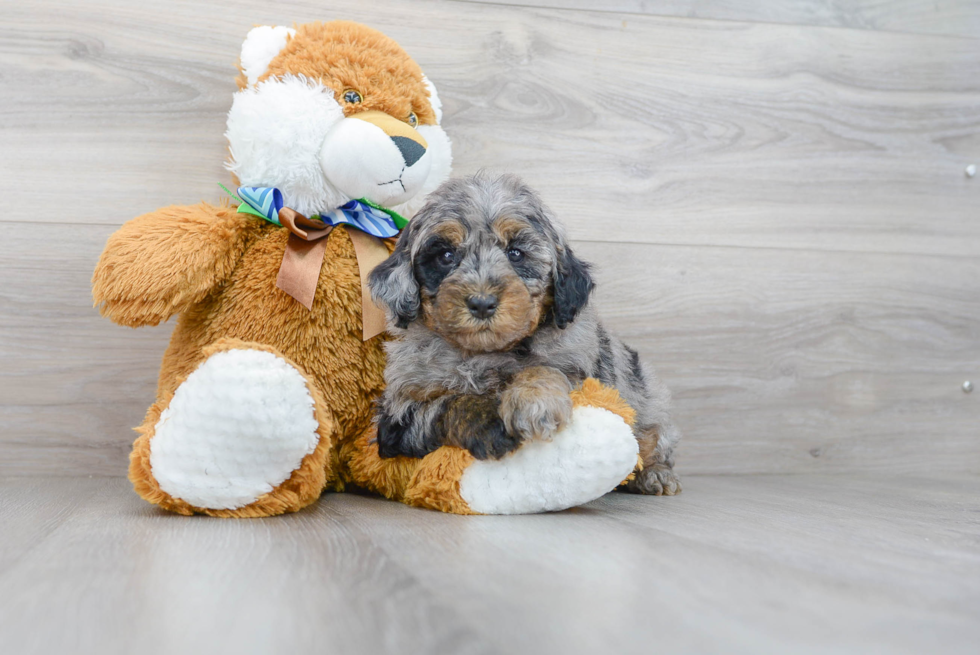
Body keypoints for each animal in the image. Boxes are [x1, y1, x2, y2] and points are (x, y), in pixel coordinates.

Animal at [368, 172, 680, 494]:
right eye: (445, 255)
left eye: (516, 253)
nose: (482, 303)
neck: (482, 353)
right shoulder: (397, 415)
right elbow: (448, 404)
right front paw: (491, 426)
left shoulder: (580, 373)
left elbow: (544, 368)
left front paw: (533, 403)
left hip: (648, 401)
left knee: (652, 441)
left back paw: (654, 475)